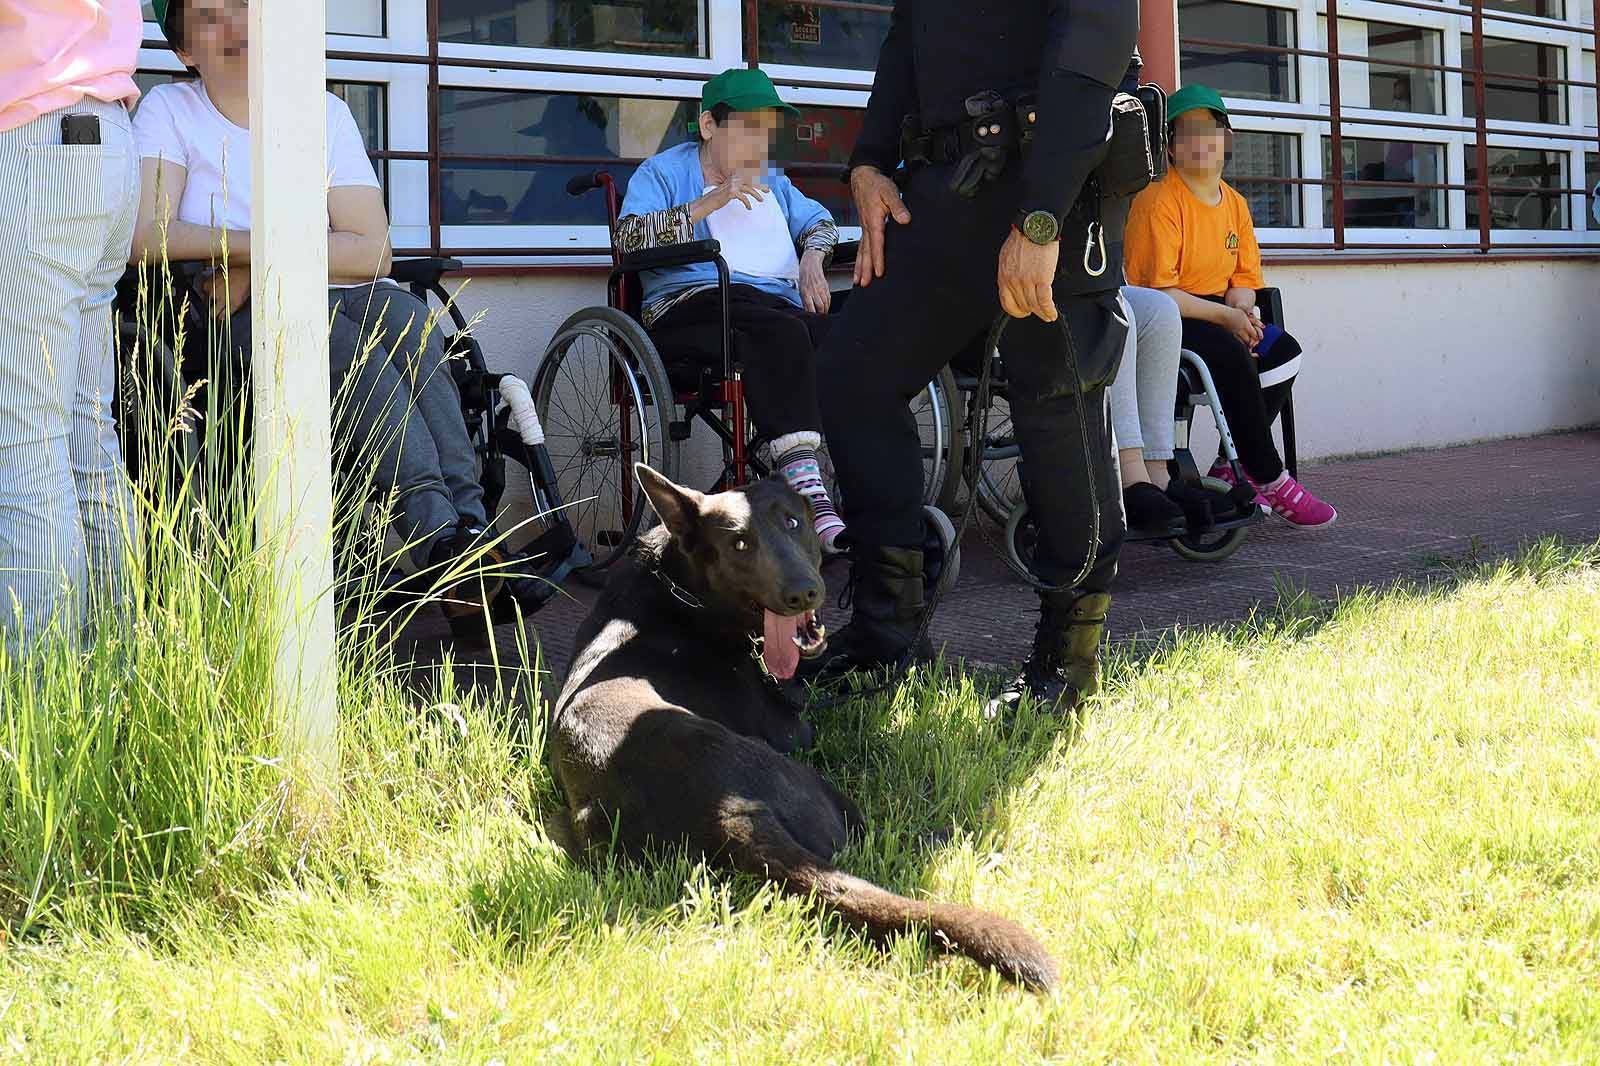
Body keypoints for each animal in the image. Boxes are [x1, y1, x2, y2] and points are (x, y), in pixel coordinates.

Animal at [550, 464, 1062, 985]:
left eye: (793, 522)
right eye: (738, 543)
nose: (803, 593)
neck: (683, 587)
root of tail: (728, 815)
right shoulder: (795, 733)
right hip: (813, 785)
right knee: (878, 840)